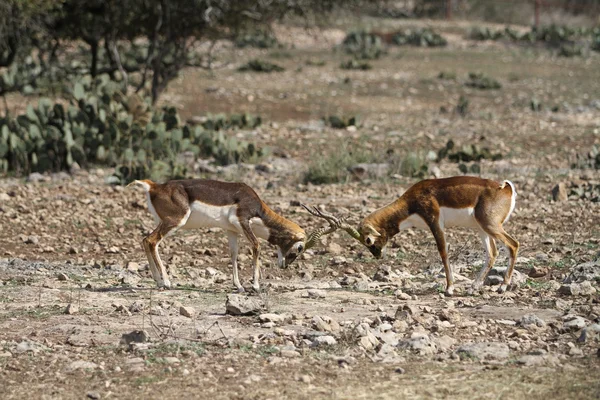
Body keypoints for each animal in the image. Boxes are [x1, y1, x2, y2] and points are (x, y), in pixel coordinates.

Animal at [127, 180, 338, 292]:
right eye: (299, 248)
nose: (284, 265)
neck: (256, 206)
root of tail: (154, 186)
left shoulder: (232, 231)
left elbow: (234, 255)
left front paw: (239, 286)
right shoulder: (243, 222)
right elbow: (256, 246)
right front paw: (255, 286)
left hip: (164, 223)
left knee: (145, 240)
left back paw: (157, 281)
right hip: (174, 221)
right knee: (152, 241)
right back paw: (166, 282)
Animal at [324, 177, 516, 296]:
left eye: (368, 240)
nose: (378, 255)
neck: (411, 203)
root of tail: (505, 188)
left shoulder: (435, 222)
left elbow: (443, 253)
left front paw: (449, 289)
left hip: (490, 226)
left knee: (513, 244)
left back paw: (502, 287)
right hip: (482, 229)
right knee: (492, 253)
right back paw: (473, 288)